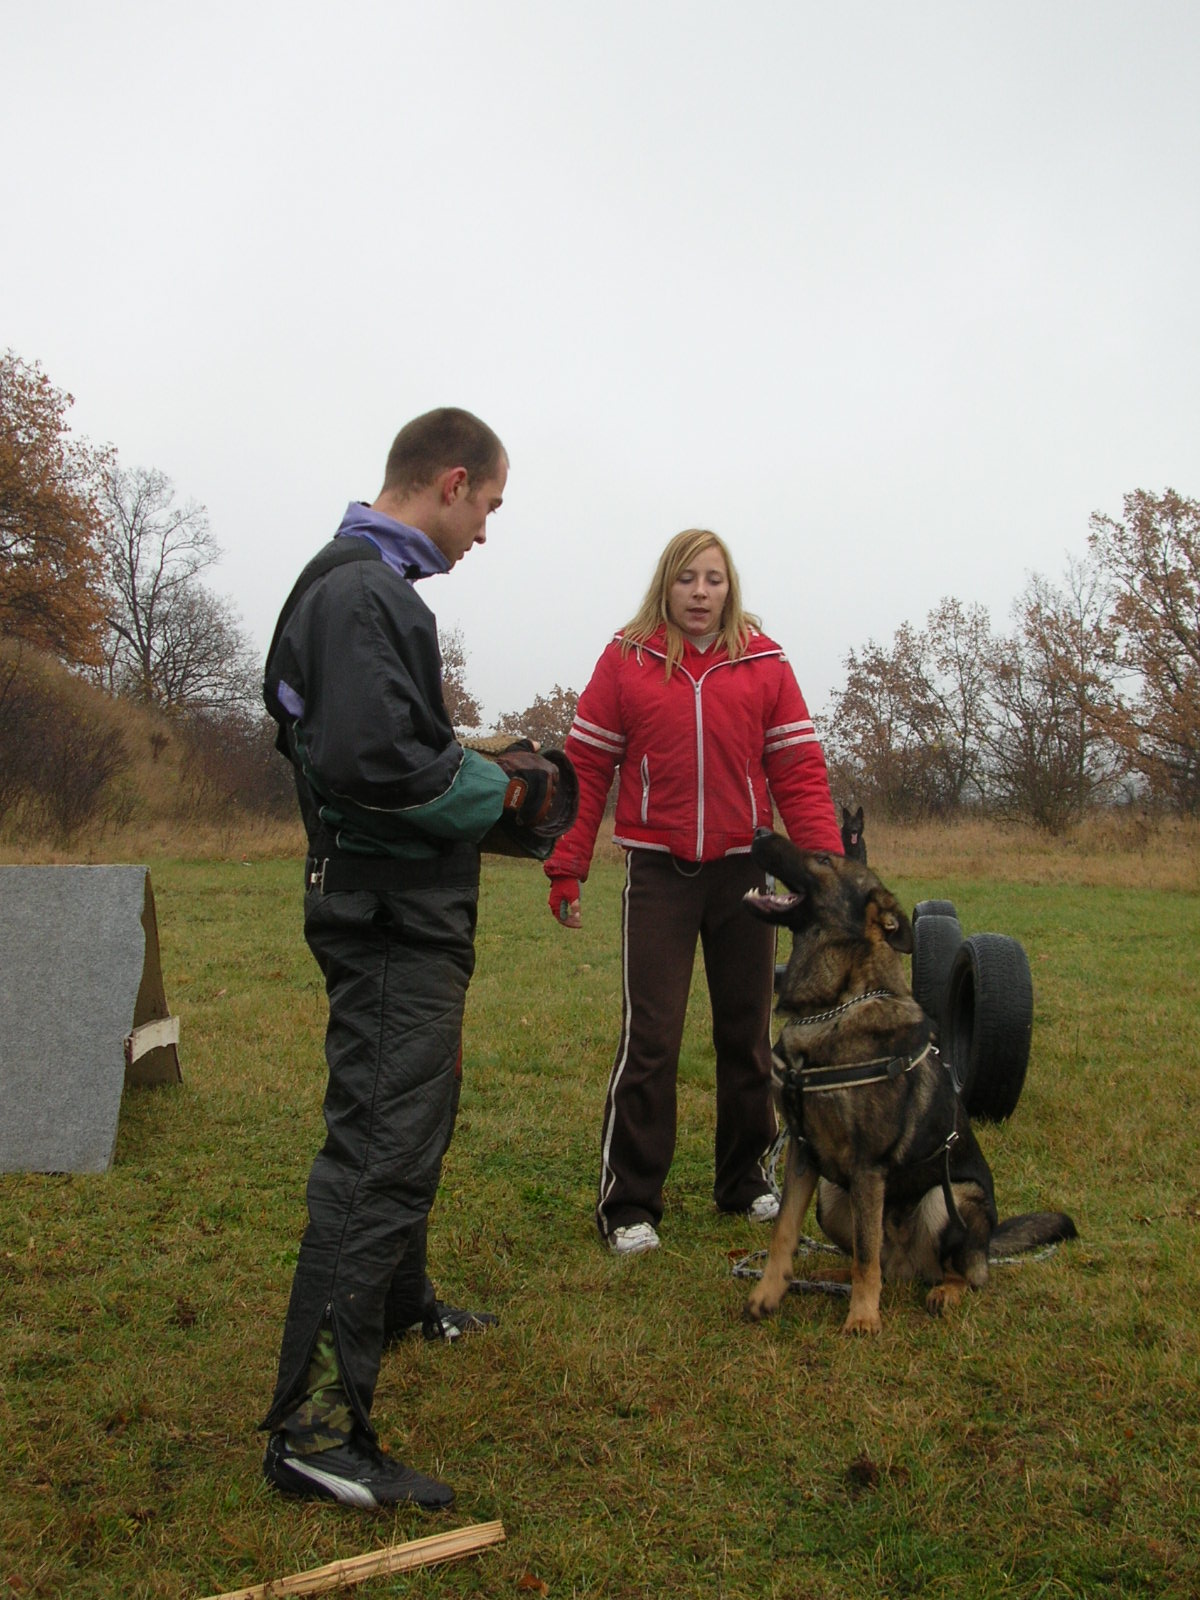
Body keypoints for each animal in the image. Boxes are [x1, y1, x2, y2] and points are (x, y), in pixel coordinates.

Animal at [748, 832, 1075, 1331]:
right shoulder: (804, 1154)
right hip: (833, 1195)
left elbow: (865, 1255)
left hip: (948, 1200)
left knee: (958, 1272)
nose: (760, 833)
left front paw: (863, 1318)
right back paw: (832, 1274)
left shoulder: (867, 1164)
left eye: (822, 859)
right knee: (874, 1256)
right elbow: (784, 1232)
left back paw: (943, 1291)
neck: (835, 1006)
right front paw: (769, 1293)